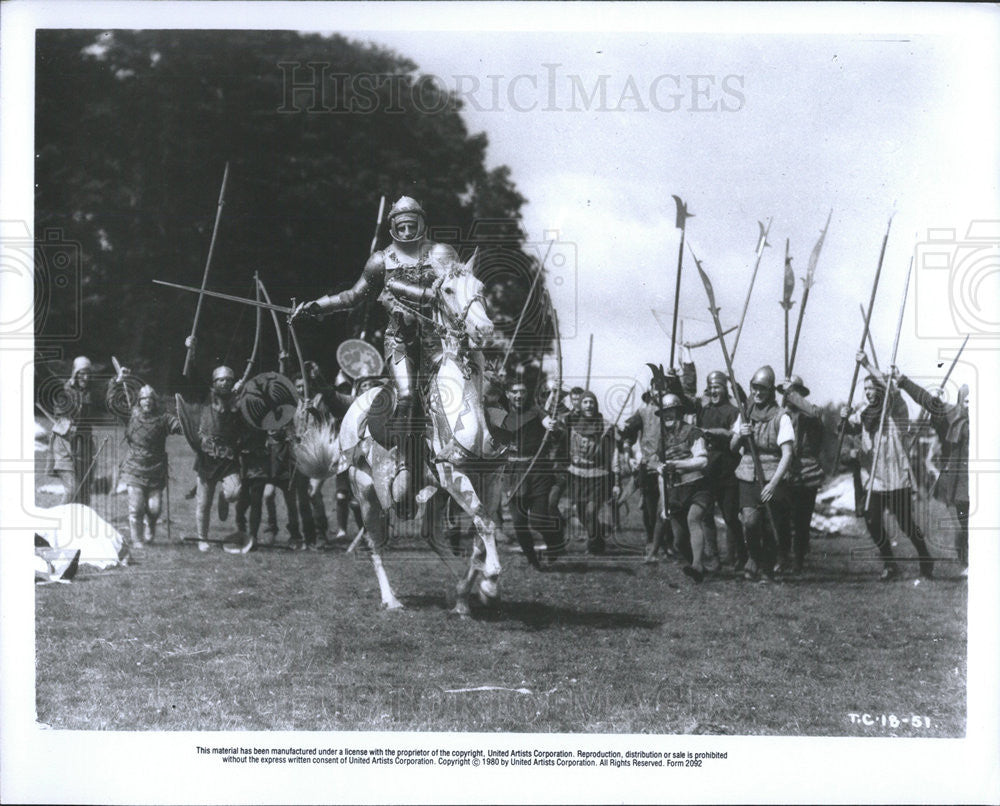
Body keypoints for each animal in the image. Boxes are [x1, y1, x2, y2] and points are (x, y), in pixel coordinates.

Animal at [296, 256, 508, 616]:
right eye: (448, 290)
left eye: (480, 287)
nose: (484, 330)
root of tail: (355, 405)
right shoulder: (454, 474)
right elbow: (484, 522)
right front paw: (491, 580)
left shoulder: (488, 478)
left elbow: (483, 531)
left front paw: (477, 589)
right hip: (367, 494)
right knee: (375, 544)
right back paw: (391, 599)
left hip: (433, 495)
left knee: (433, 538)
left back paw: (460, 594)